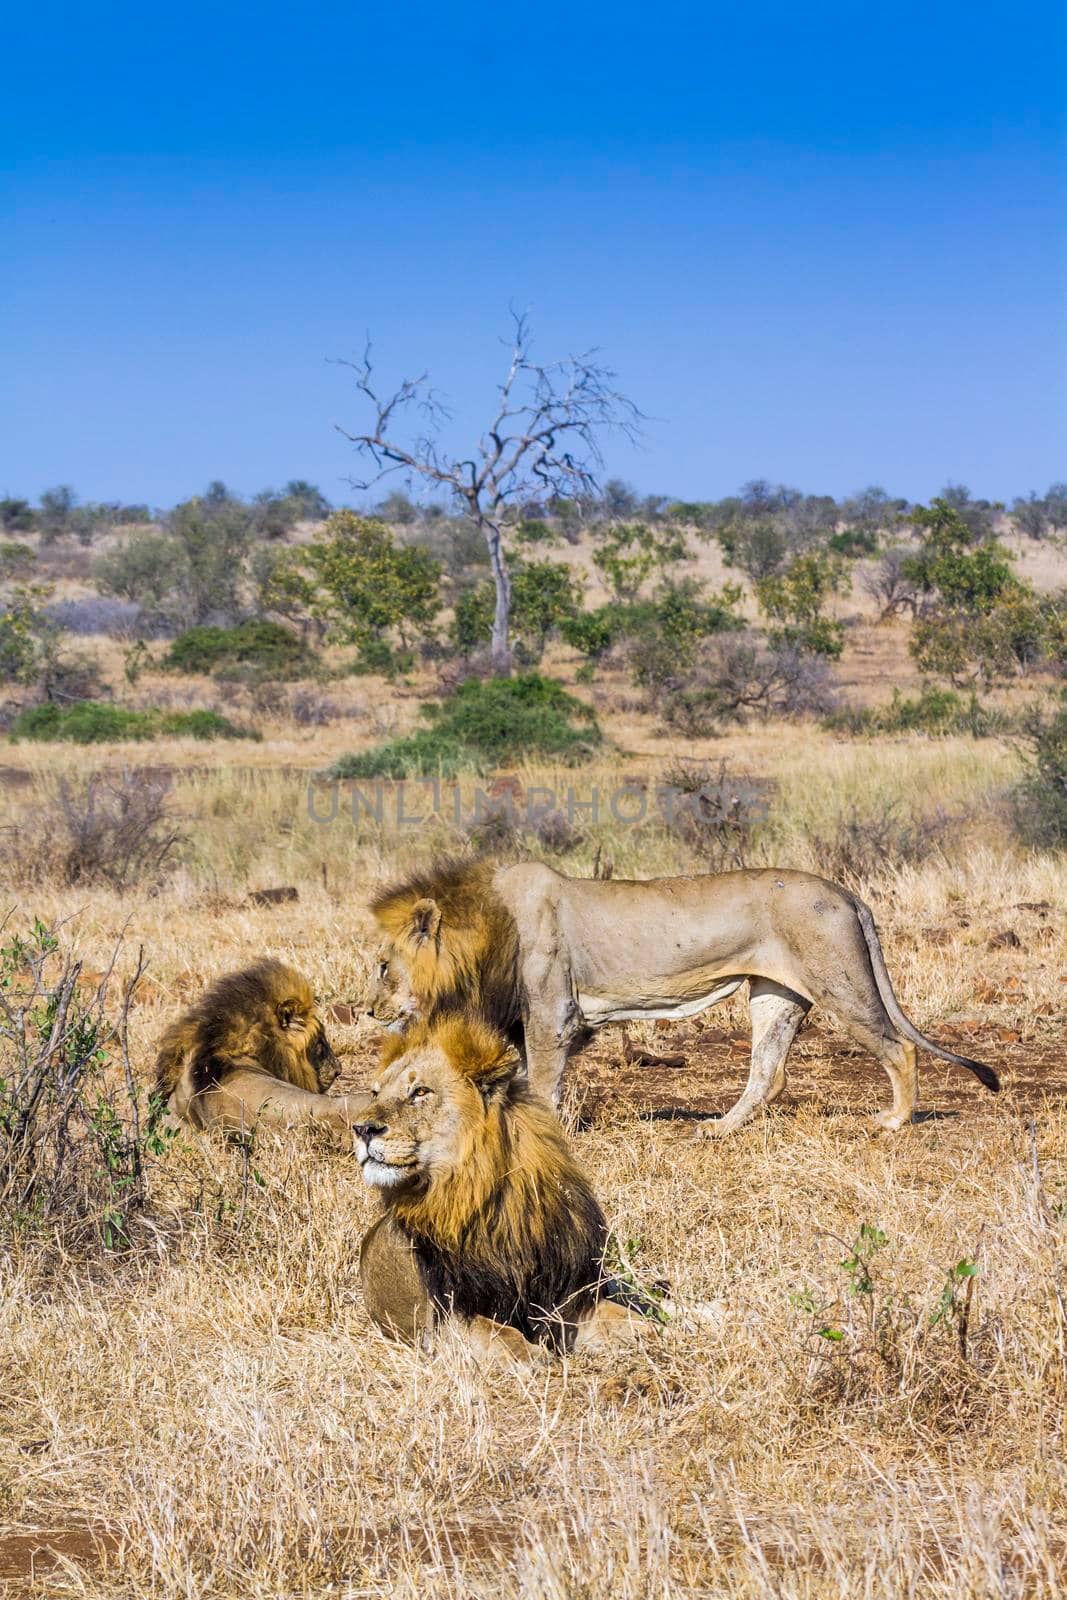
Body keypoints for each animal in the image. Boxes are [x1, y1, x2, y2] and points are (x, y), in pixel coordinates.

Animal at [355, 1017, 646, 1369]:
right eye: (375, 1093)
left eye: (420, 1091)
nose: (361, 1129)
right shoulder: (445, 1324)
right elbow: (500, 1334)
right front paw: (534, 1355)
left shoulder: (565, 1298)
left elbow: (625, 1318)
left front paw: (662, 1331)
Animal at [369, 857, 1004, 1132]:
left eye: (381, 966)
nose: (370, 1011)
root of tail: (848, 894)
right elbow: (522, 1079)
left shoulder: (551, 1013)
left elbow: (542, 1083)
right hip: (775, 994)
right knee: (768, 1072)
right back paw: (718, 1128)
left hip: (839, 983)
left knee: (901, 1047)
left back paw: (894, 1121)